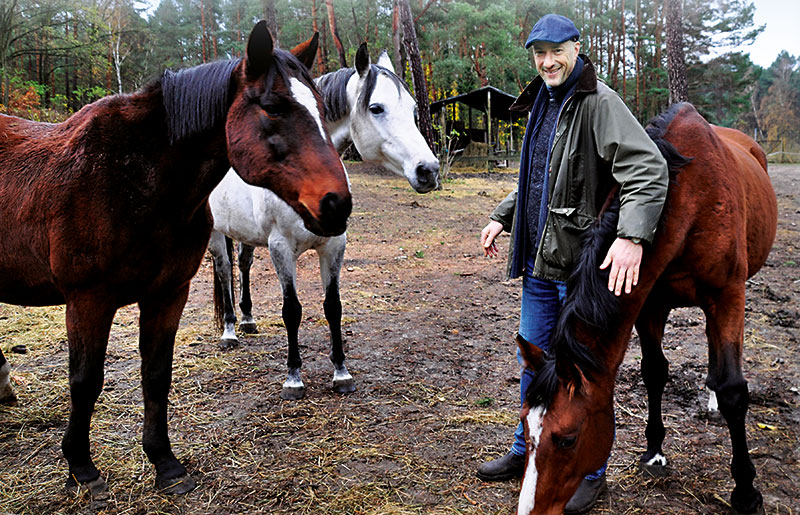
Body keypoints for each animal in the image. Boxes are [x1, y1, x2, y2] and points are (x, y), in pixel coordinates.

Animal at [0, 22, 350, 498]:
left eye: (322, 107)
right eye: (273, 107)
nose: (337, 204)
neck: (137, 182)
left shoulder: (168, 294)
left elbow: (156, 376)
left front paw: (164, 463)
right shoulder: (88, 300)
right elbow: (86, 382)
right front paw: (82, 467)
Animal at [208, 43, 438, 400]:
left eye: (414, 110)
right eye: (376, 108)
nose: (428, 170)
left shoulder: (334, 244)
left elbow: (333, 306)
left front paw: (341, 373)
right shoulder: (280, 247)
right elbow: (292, 310)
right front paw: (293, 378)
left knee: (243, 265)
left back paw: (247, 320)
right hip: (216, 233)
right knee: (223, 270)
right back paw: (230, 331)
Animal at [516, 102, 780, 515]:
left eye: (567, 439)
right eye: (526, 424)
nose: (529, 511)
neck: (688, 195)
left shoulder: (727, 295)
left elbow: (734, 389)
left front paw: (746, 491)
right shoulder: (649, 302)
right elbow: (654, 372)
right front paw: (654, 451)